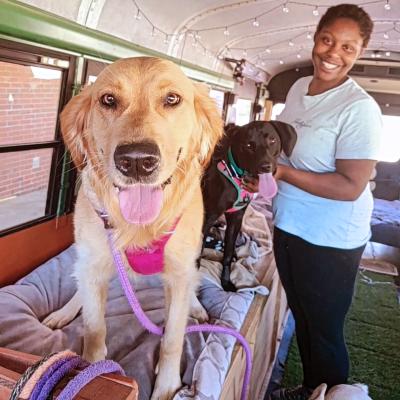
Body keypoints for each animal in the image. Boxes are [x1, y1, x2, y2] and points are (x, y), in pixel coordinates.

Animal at [44, 57, 225, 400]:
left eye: (172, 99)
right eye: (108, 100)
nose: (137, 161)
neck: (140, 228)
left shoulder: (178, 276)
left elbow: (173, 337)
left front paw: (167, 387)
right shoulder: (95, 266)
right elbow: (94, 329)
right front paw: (92, 373)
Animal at [202, 120, 296, 292]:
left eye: (272, 140)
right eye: (248, 145)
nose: (265, 166)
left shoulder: (236, 218)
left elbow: (227, 253)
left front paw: (226, 281)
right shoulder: (207, 217)